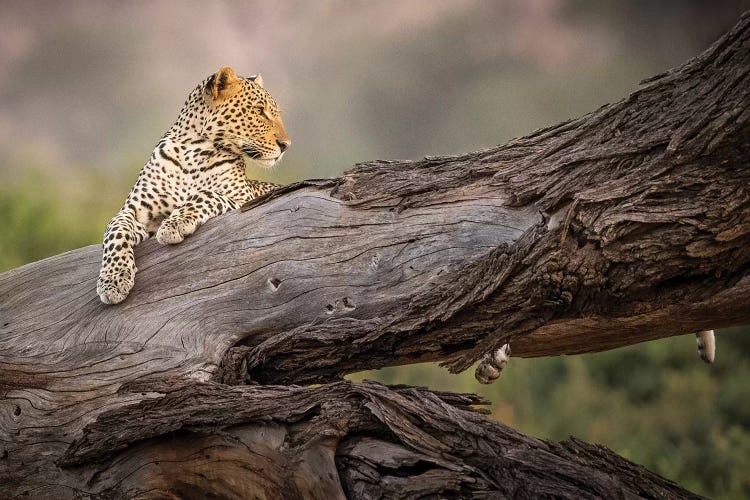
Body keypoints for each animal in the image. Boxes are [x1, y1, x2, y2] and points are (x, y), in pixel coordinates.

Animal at [97, 66, 290, 304]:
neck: (193, 152)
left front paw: (175, 224)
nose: (286, 145)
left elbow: (205, 194)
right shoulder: (134, 212)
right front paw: (113, 280)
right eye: (259, 111)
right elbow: (115, 230)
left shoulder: (244, 199)